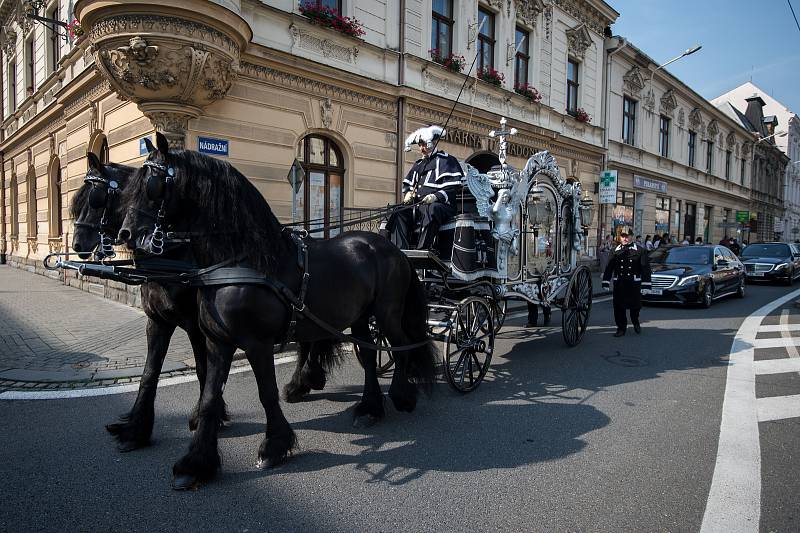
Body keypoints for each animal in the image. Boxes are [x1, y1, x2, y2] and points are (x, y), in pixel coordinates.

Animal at [69, 151, 231, 448]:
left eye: (96, 197)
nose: (77, 244)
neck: (173, 256)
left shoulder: (196, 326)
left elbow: (204, 369)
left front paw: (206, 416)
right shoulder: (157, 321)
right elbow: (149, 372)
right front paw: (136, 427)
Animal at [117, 132, 438, 486]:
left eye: (153, 186)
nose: (126, 235)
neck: (239, 262)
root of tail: (393, 248)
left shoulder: (257, 343)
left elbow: (266, 393)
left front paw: (274, 446)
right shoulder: (218, 342)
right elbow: (210, 397)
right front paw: (196, 462)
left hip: (387, 313)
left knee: (402, 346)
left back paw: (402, 396)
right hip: (359, 318)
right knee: (369, 356)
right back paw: (369, 408)